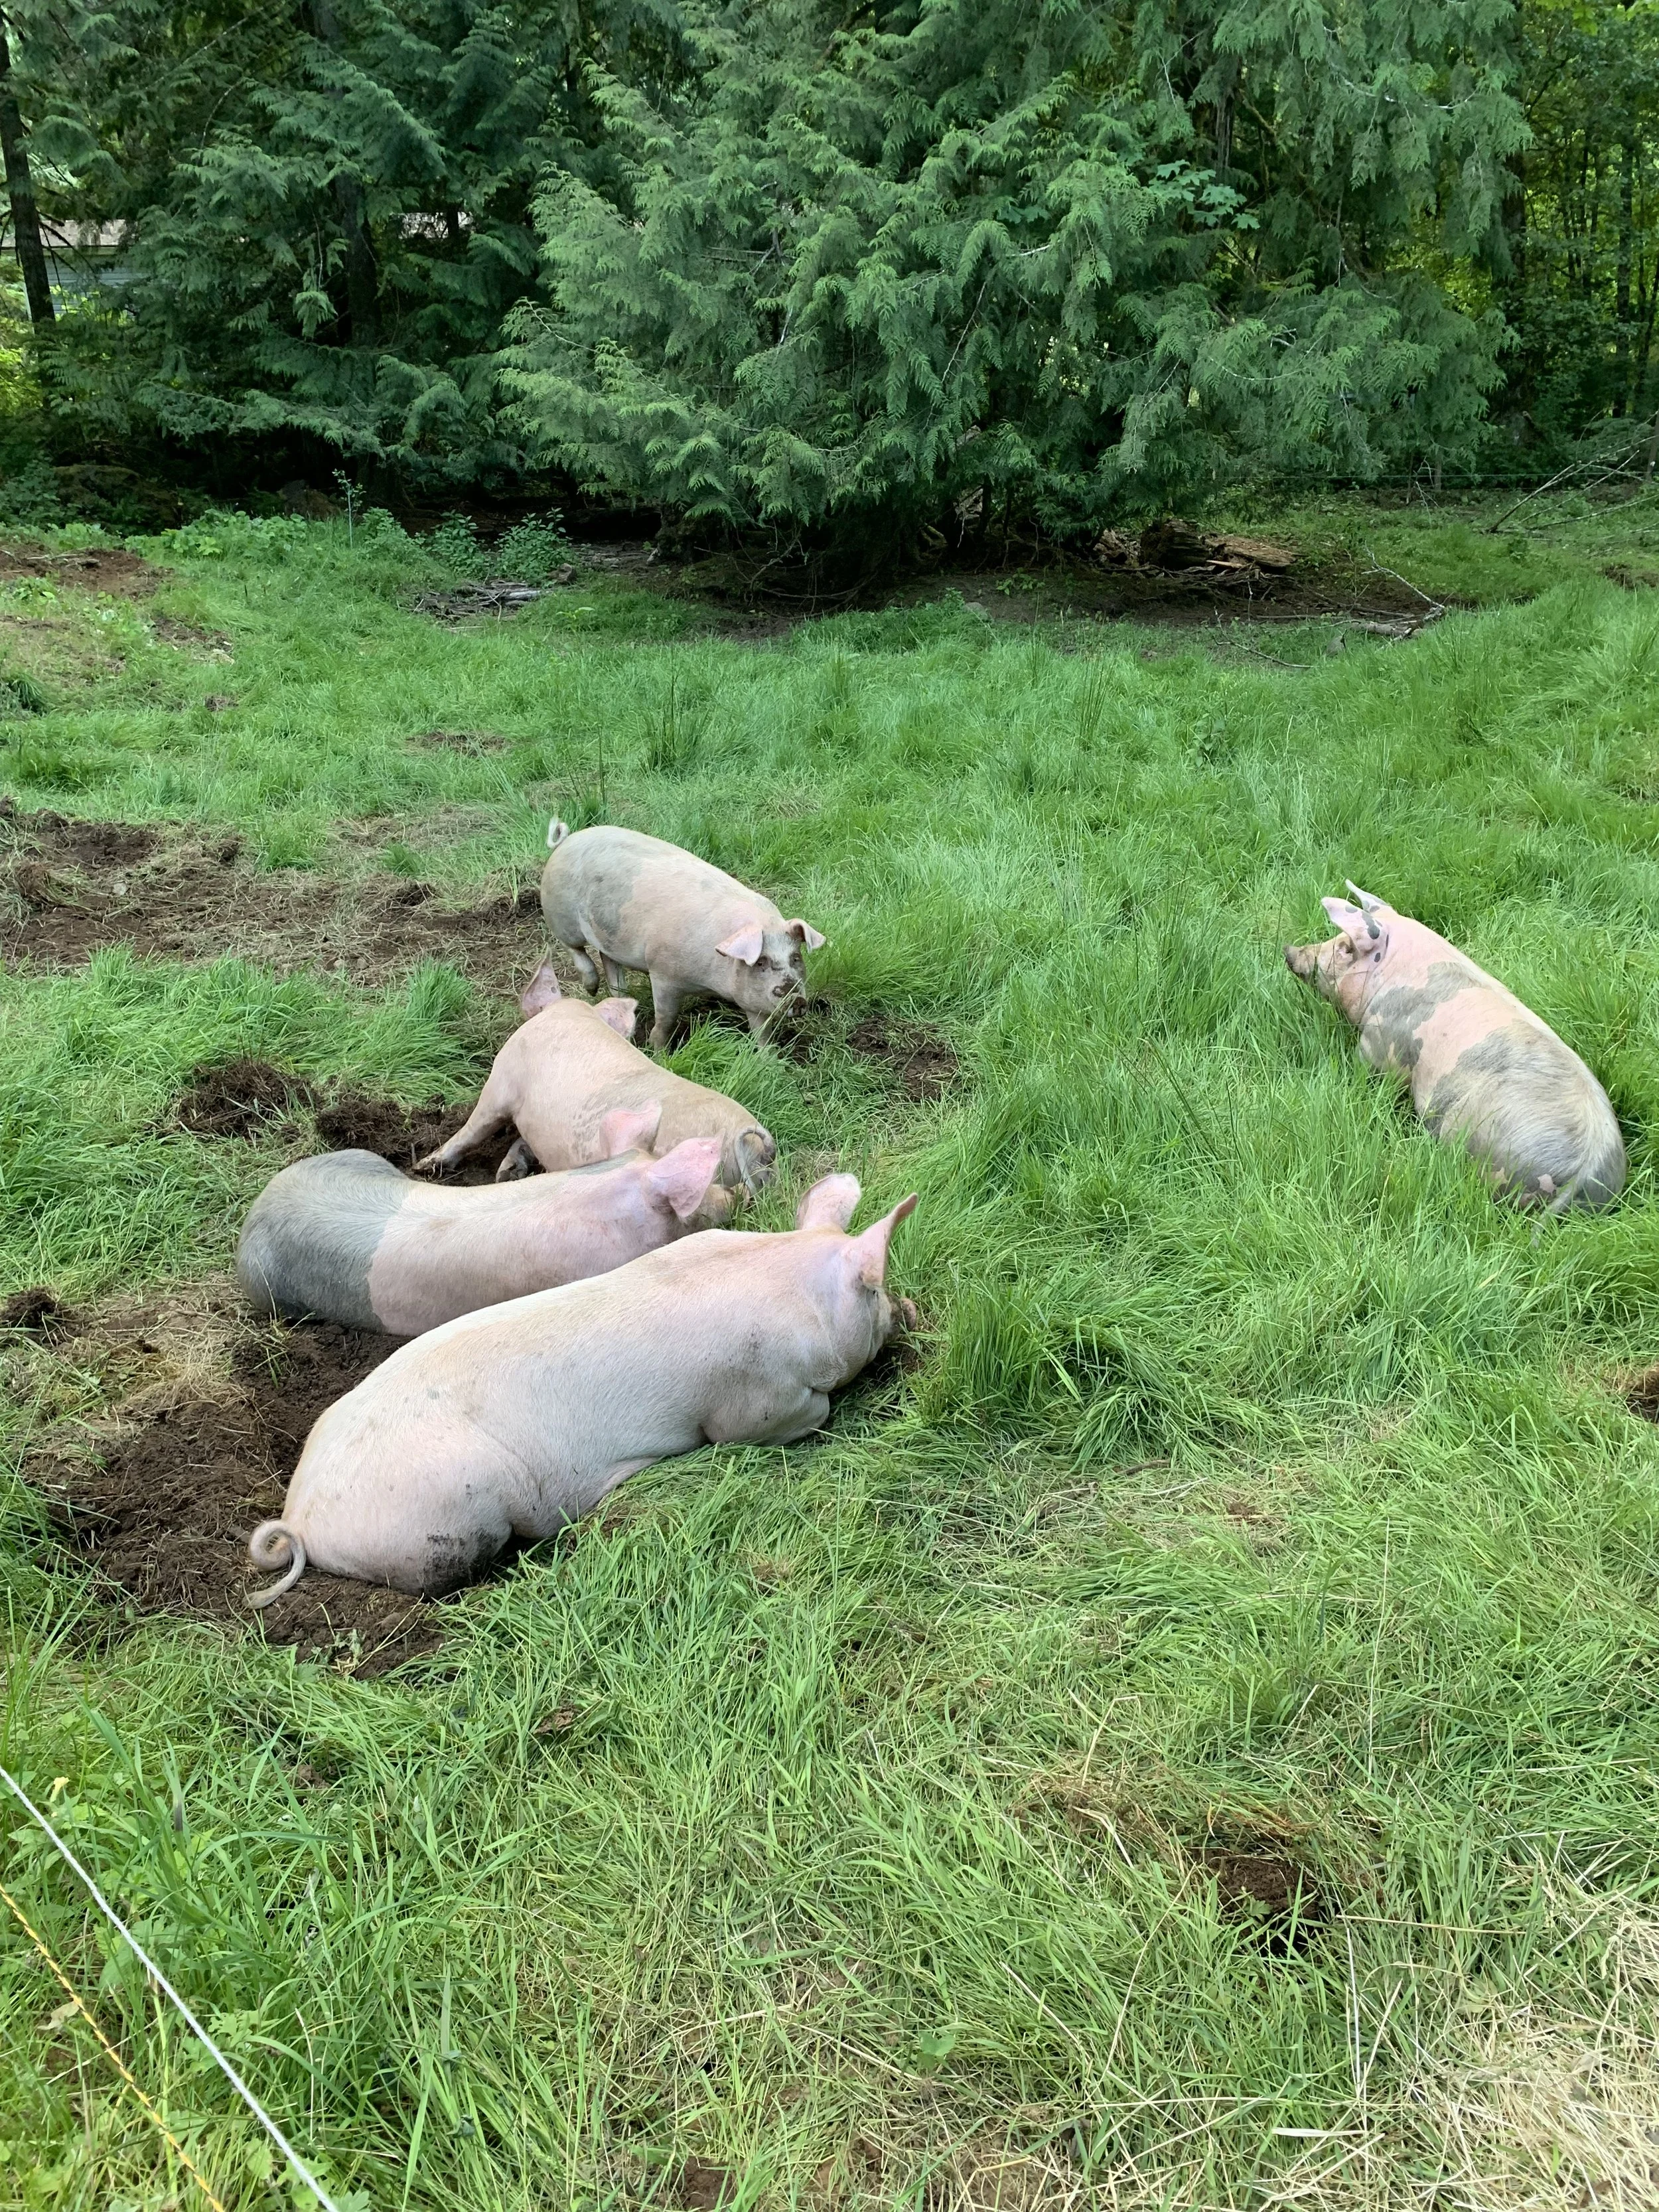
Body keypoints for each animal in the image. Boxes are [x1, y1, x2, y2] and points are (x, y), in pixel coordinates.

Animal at [247, 1174, 919, 1603]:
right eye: (876, 1289)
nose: (907, 1309)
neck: (789, 1282)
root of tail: (300, 1518)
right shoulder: (755, 1403)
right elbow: (797, 1415)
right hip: (444, 1516)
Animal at [416, 963, 777, 1193]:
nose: (422, 1166)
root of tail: (752, 1143)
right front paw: (506, 1174)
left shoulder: (502, 1082)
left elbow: (473, 1129)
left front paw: (425, 1165)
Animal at [540, 820, 827, 1048]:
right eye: (761, 962)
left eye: (796, 958)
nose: (796, 999)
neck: (710, 980)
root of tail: (567, 840)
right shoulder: (663, 973)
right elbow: (666, 1019)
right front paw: (658, 1050)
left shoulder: (751, 998)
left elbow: (762, 1033)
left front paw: (769, 1060)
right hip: (560, 916)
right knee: (575, 948)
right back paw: (591, 989)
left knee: (610, 963)